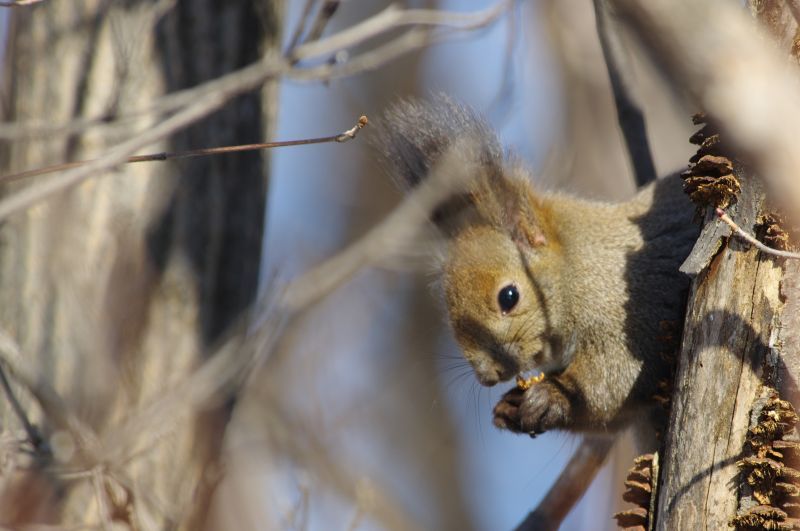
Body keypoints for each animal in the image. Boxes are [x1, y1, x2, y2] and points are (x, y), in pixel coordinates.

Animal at [376, 96, 700, 440]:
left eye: (509, 297)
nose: (488, 376)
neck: (578, 269)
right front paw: (511, 408)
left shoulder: (632, 309)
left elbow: (614, 381)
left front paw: (551, 395)